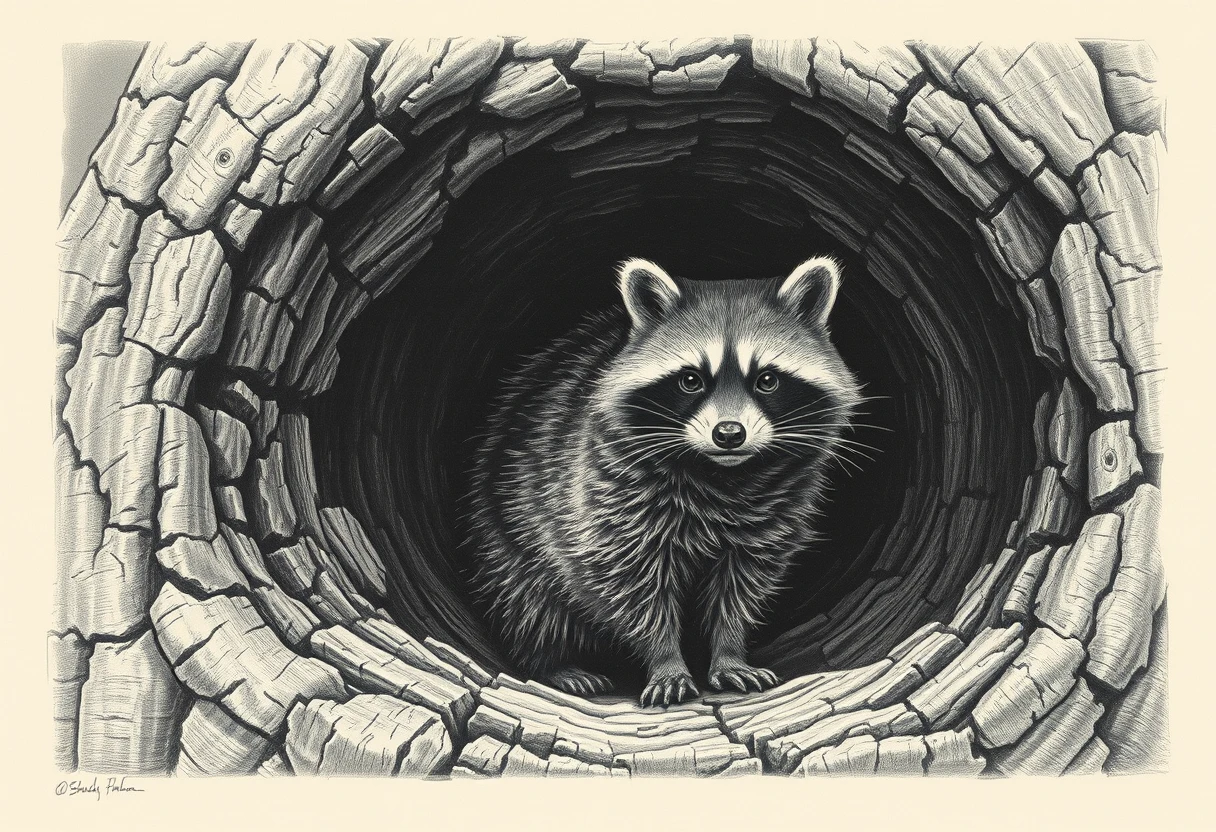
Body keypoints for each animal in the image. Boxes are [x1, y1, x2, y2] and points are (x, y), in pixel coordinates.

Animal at [465, 257, 863, 706]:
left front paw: (729, 651)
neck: (722, 474)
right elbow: (631, 583)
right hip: (506, 520)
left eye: (767, 379)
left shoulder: (775, 509)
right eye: (690, 380)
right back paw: (553, 663)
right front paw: (665, 659)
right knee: (530, 600)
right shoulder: (606, 489)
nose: (729, 434)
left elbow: (742, 584)